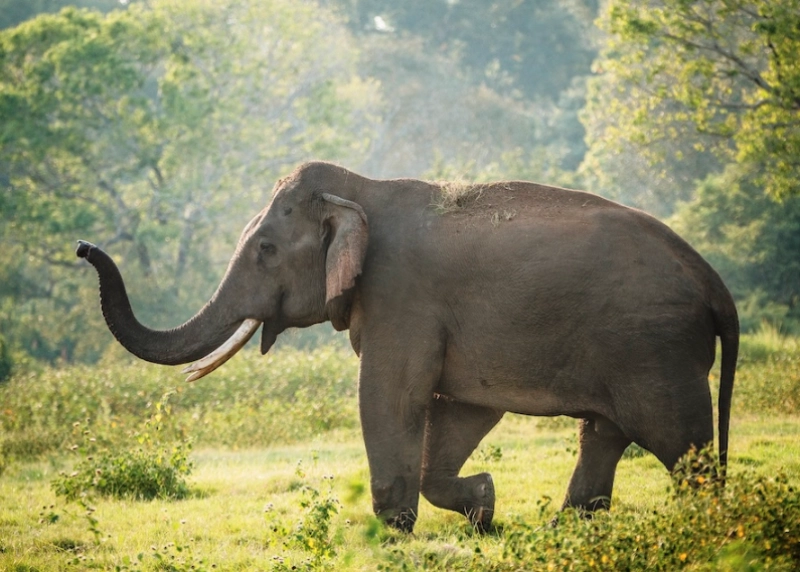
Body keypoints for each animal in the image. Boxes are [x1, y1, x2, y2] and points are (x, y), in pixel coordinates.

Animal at [76, 161, 738, 532]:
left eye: (265, 249)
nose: (83, 246)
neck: (362, 191)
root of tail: (714, 282)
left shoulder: (403, 298)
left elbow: (390, 397)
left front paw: (396, 529)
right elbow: (461, 409)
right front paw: (484, 507)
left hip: (656, 351)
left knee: (683, 449)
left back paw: (707, 527)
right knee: (603, 435)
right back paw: (565, 531)